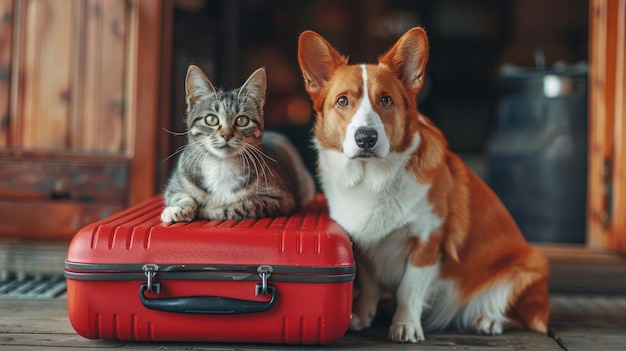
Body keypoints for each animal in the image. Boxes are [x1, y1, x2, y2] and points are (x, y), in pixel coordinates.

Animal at [161, 64, 314, 221]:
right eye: (211, 119)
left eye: (242, 120)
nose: (226, 135)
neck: (221, 165)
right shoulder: (175, 186)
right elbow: (179, 195)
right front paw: (178, 208)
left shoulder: (281, 198)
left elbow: (241, 206)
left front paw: (208, 210)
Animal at [296, 28, 544, 344]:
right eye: (342, 101)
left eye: (386, 100)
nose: (366, 138)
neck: (373, 178)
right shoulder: (363, 246)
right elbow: (370, 286)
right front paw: (361, 317)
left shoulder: (427, 241)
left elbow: (409, 290)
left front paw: (405, 325)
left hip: (528, 268)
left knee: (517, 313)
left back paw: (489, 319)